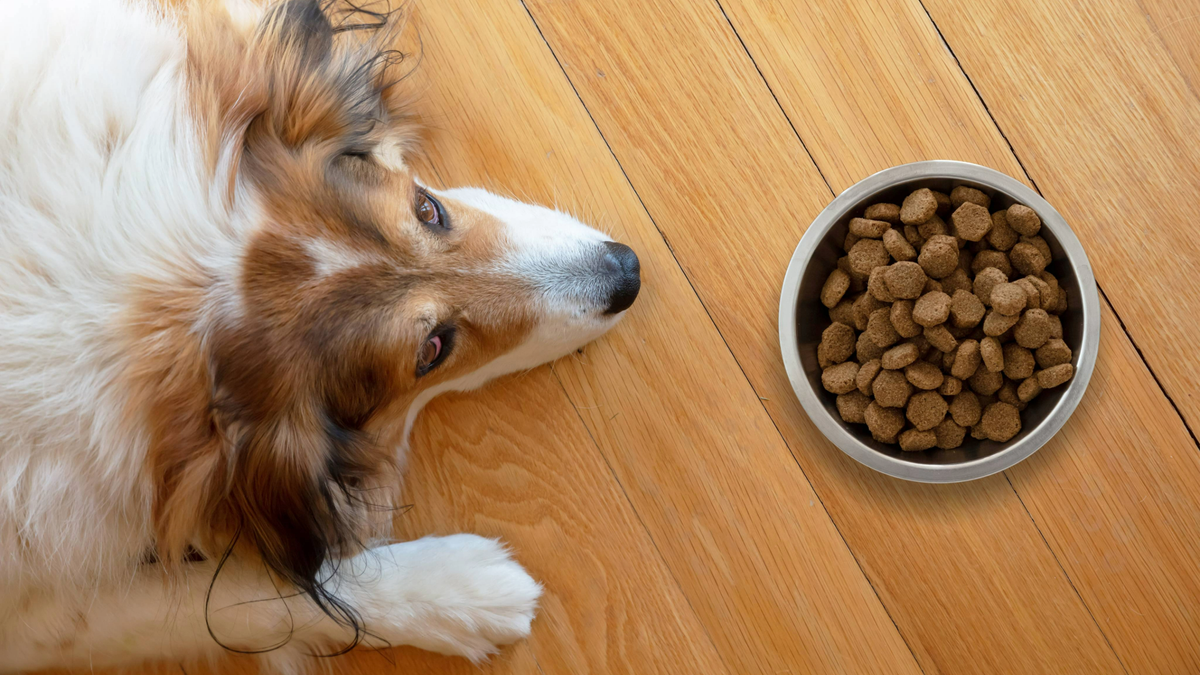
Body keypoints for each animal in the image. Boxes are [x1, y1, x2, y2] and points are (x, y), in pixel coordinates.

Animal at [0, 0, 643, 667]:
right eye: (431, 351)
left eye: (427, 209)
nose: (627, 273)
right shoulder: (36, 606)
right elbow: (248, 593)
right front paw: (459, 592)